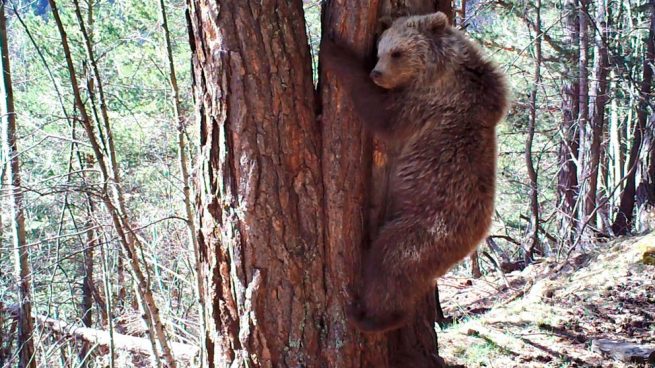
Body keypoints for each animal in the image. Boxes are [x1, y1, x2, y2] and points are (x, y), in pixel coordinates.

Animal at [322, 12, 512, 334]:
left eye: (397, 52)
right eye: (380, 50)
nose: (376, 73)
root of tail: (474, 237)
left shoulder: (428, 101)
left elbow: (383, 113)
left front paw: (333, 51)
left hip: (426, 226)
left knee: (392, 260)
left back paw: (371, 316)